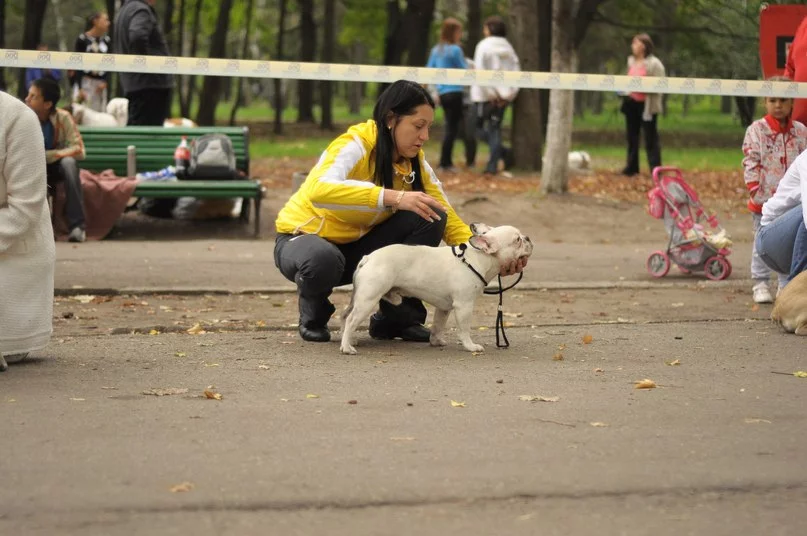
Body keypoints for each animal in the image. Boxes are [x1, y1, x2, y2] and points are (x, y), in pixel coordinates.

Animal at [340, 223, 533, 355]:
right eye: (517, 240)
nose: (528, 238)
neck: (478, 258)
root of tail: (368, 258)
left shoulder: (444, 307)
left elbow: (438, 325)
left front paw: (436, 341)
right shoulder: (464, 306)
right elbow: (464, 329)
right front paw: (470, 346)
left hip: (359, 297)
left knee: (345, 315)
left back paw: (348, 340)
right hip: (368, 299)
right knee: (351, 320)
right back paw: (347, 348)